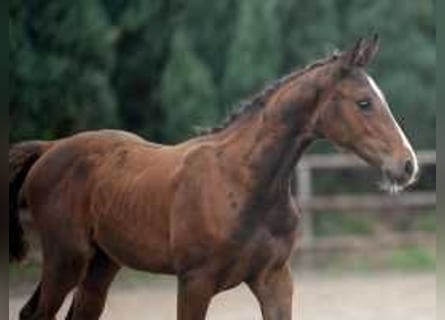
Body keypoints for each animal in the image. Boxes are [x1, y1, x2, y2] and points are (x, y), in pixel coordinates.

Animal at [9, 35, 416, 320]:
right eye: (364, 102)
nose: (407, 165)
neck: (245, 183)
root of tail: (49, 148)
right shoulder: (194, 282)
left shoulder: (274, 278)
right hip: (65, 258)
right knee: (37, 313)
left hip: (101, 263)